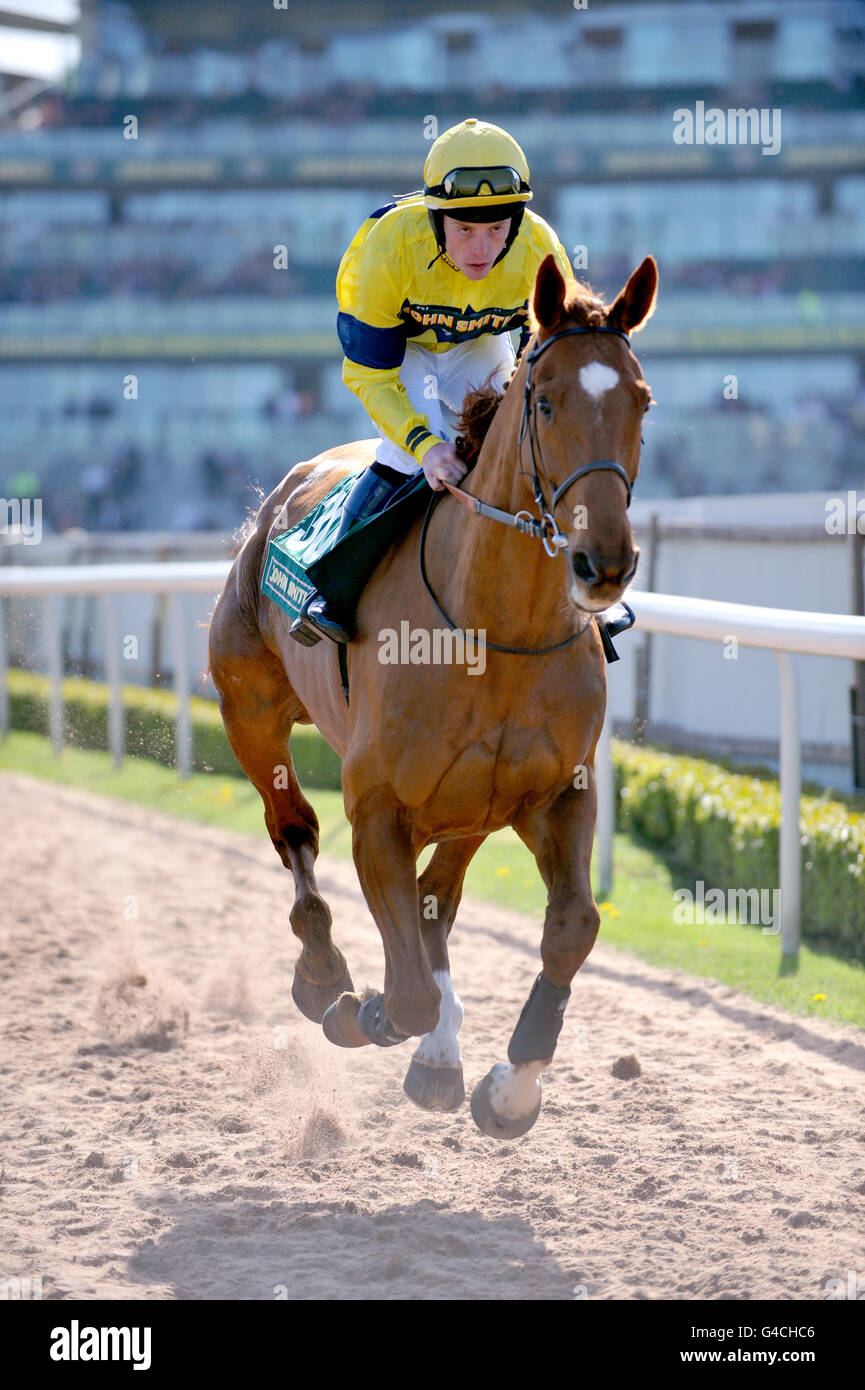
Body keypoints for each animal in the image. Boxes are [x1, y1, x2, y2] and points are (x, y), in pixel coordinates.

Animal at [208, 252, 656, 1139]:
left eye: (640, 399)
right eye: (544, 400)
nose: (604, 563)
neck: (496, 629)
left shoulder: (555, 793)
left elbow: (570, 928)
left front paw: (509, 1088)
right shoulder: (377, 807)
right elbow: (406, 988)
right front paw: (367, 1011)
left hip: (472, 802)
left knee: (434, 899)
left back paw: (439, 1056)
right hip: (248, 712)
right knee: (294, 829)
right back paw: (325, 973)